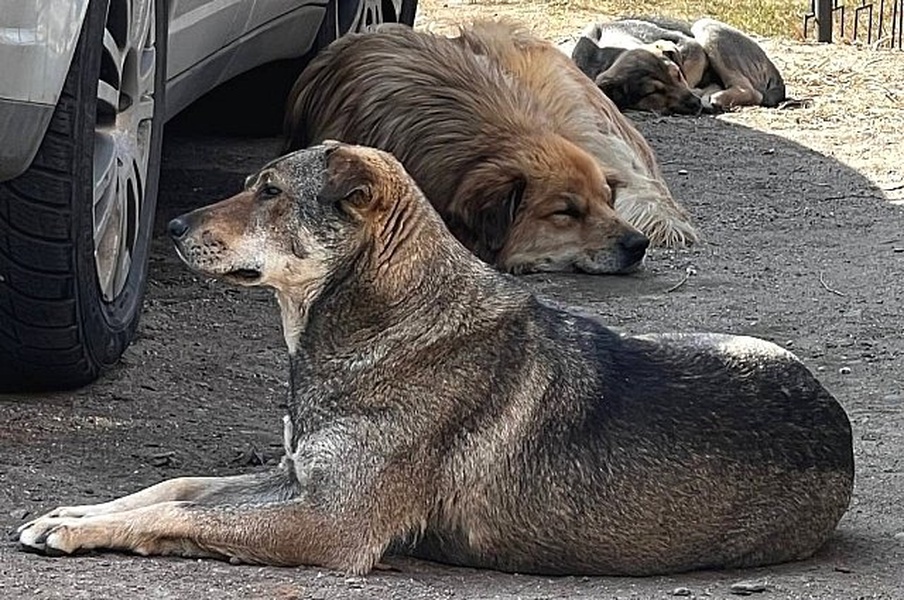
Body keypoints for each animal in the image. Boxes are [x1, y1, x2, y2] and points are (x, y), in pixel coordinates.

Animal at [15, 144, 856, 576]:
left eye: (271, 192)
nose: (172, 223)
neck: (382, 327)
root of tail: (839, 427)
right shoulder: (297, 478)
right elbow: (176, 488)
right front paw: (75, 513)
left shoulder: (327, 523)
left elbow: (179, 514)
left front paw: (79, 532)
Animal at [576, 17, 788, 113]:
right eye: (653, 93)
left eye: (677, 74)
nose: (695, 104)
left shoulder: (692, 48)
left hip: (705, 27)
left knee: (751, 91)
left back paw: (715, 98)